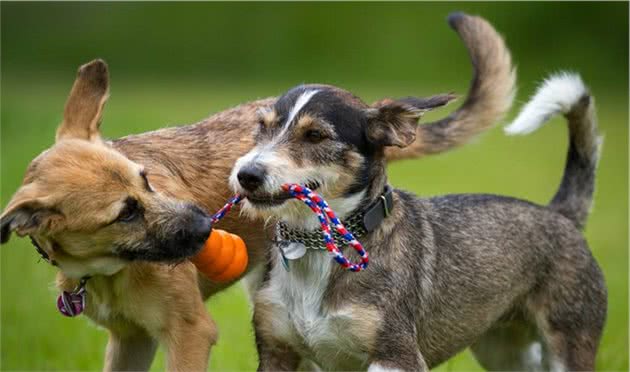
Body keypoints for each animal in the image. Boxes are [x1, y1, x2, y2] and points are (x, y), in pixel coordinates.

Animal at [0, 13, 516, 370]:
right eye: (124, 213)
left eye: (147, 179)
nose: (205, 224)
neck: (106, 271)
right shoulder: (130, 340)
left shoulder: (189, 332)